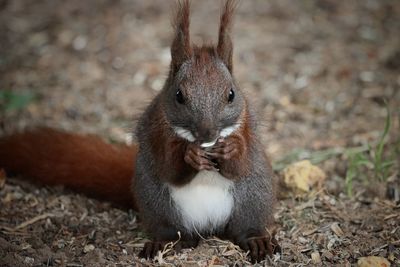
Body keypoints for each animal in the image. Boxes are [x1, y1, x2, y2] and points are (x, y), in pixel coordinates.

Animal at [0, 0, 280, 264]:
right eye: (179, 95)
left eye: (231, 94)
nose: (207, 133)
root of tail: (208, 226)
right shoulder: (157, 134)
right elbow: (169, 168)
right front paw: (189, 155)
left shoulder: (248, 131)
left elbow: (240, 164)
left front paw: (231, 149)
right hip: (157, 202)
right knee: (174, 232)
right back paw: (166, 244)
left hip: (253, 196)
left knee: (243, 228)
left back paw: (255, 240)